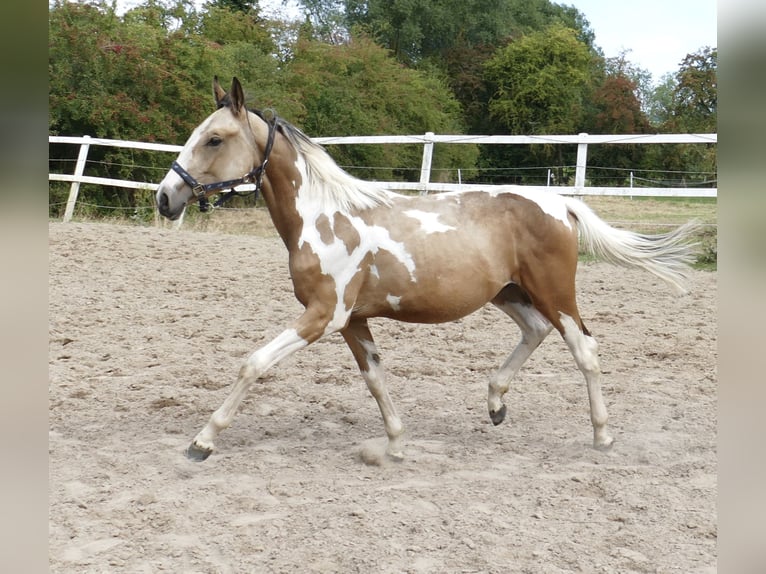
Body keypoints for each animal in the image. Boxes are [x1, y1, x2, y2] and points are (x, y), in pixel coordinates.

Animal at [156, 77, 698, 462]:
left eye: (214, 139)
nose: (165, 197)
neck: (324, 216)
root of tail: (561, 203)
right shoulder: (352, 320)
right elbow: (375, 378)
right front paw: (395, 445)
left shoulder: (323, 315)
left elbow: (253, 363)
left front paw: (202, 441)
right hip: (509, 293)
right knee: (535, 331)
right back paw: (495, 405)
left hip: (554, 292)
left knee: (585, 349)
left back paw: (602, 436)